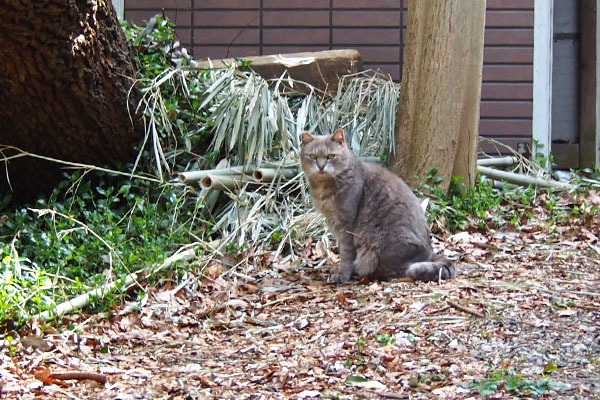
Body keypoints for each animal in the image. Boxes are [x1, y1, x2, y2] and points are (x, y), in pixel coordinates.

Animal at [300, 130, 454, 282]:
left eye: (330, 156)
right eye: (313, 156)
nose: (321, 166)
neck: (324, 186)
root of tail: (430, 252)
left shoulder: (346, 226)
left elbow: (346, 253)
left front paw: (342, 275)